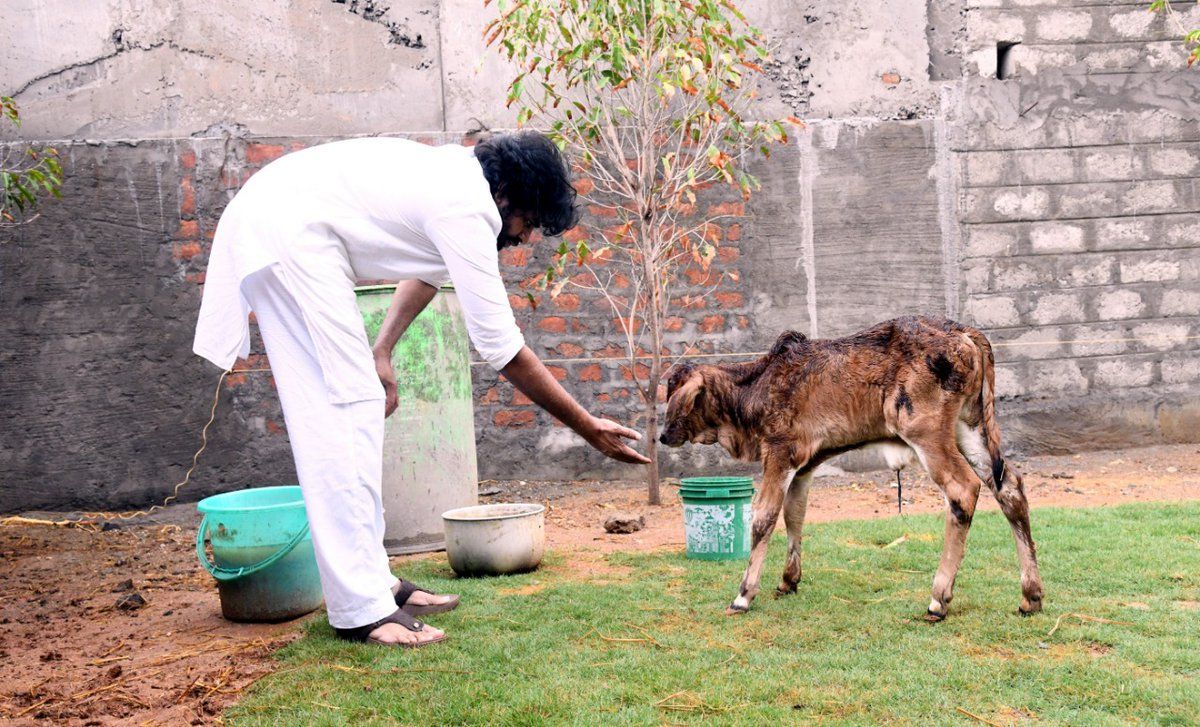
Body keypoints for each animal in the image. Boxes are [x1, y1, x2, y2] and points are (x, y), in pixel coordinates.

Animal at [662, 316, 1046, 619]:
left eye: (678, 398)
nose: (664, 436)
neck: (756, 387)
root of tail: (964, 332)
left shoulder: (779, 453)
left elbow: (764, 519)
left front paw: (743, 595)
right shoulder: (803, 467)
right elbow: (794, 515)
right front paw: (788, 581)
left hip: (925, 431)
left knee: (963, 490)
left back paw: (938, 600)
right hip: (972, 428)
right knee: (1009, 488)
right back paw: (1031, 596)